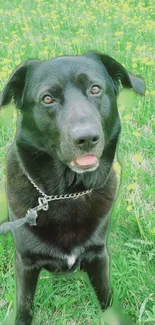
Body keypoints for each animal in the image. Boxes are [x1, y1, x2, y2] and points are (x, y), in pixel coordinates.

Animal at [0, 52, 145, 322]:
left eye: (95, 89)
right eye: (48, 98)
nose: (86, 139)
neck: (65, 194)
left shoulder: (98, 256)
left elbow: (107, 298)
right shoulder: (26, 262)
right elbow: (24, 306)